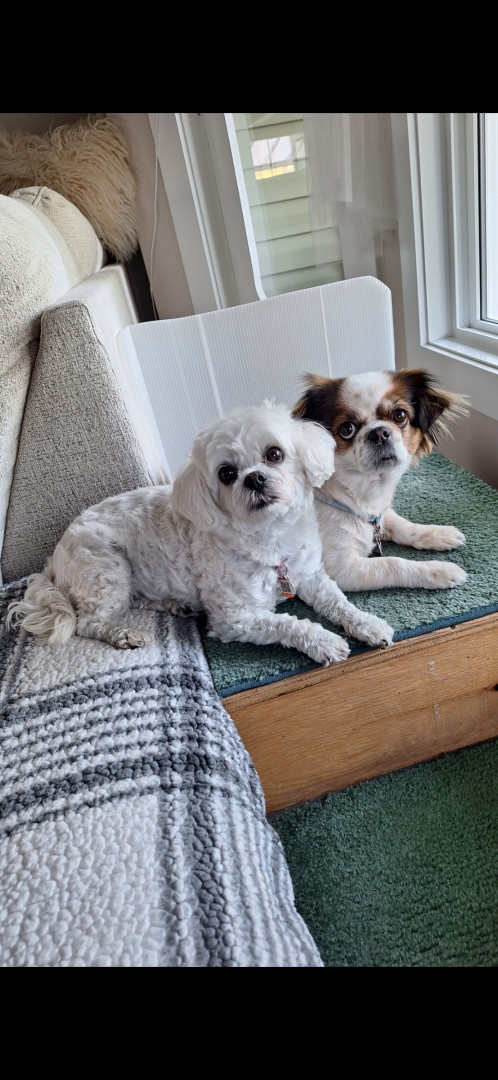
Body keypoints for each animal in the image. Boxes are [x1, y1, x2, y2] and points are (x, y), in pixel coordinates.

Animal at [6, 401, 394, 666]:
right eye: (226, 473)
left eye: (274, 453)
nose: (254, 478)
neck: (271, 539)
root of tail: (54, 556)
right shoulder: (235, 619)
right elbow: (289, 624)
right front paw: (325, 642)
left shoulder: (311, 575)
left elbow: (338, 602)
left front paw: (368, 624)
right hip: (107, 568)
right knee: (88, 621)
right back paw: (123, 633)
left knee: (136, 599)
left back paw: (173, 604)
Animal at [292, 368, 469, 591]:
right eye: (346, 429)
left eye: (400, 415)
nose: (378, 433)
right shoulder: (342, 569)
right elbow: (392, 563)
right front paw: (439, 570)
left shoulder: (380, 516)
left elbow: (405, 527)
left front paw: (440, 533)